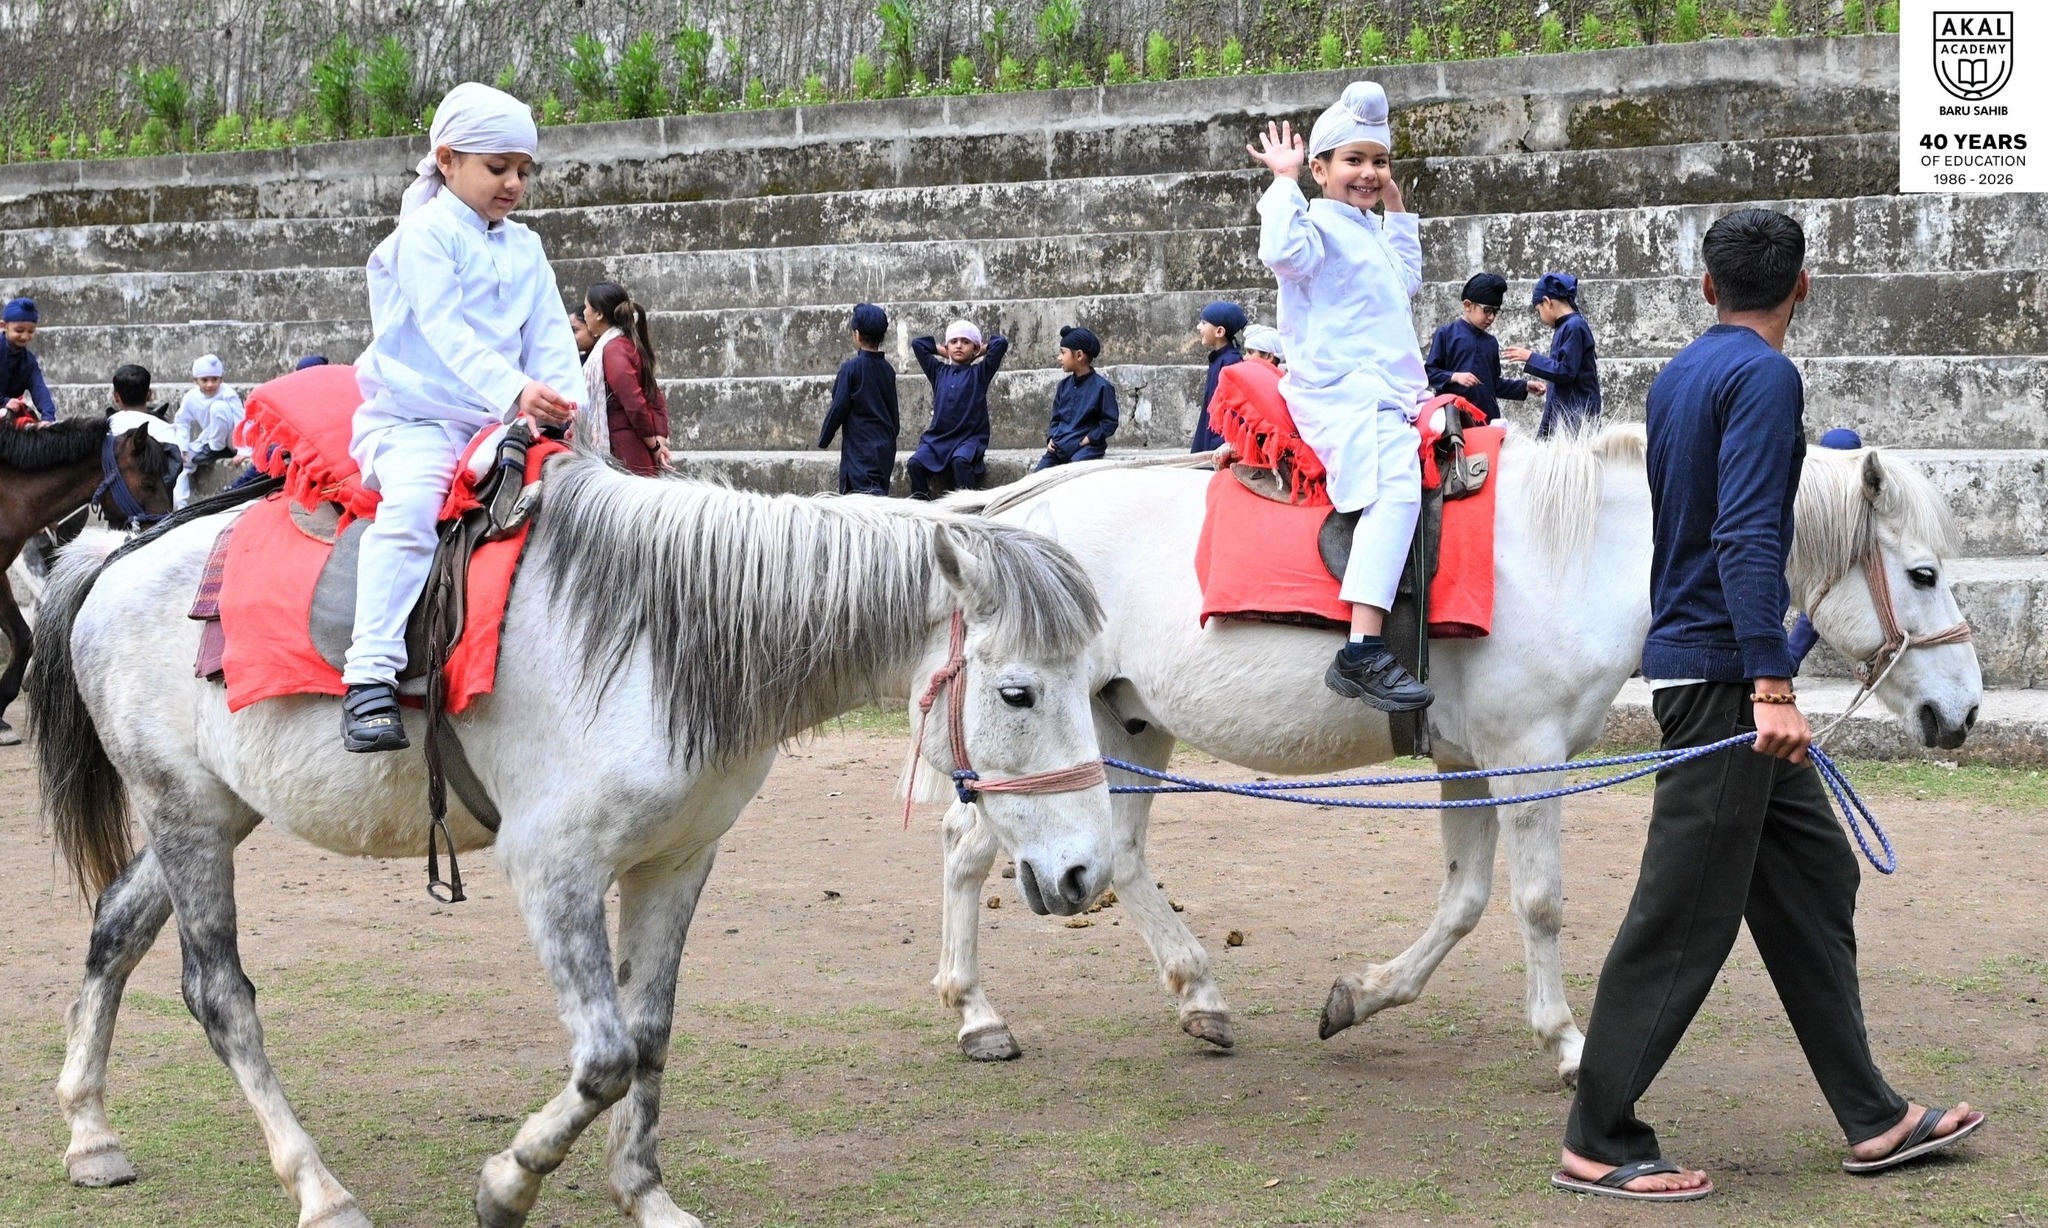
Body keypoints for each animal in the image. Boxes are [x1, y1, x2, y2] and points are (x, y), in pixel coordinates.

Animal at [29, 454, 1117, 1228]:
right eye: (1017, 692)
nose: (1084, 873)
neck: (664, 644)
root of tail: (115, 558)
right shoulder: (553, 870)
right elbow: (602, 1055)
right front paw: (508, 1184)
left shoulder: (677, 860)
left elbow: (649, 1034)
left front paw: (645, 1195)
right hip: (187, 814)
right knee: (218, 993)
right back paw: (319, 1190)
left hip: (214, 813)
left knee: (116, 931)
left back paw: (89, 1134)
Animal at [924, 425, 1981, 1081]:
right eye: (1924, 573)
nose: (1963, 711)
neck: (1571, 555)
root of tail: (1012, 514)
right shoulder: (1529, 755)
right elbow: (1538, 903)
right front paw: (1567, 1044)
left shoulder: (1471, 763)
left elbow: (1466, 900)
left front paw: (1360, 996)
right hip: (1056, 733)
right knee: (974, 850)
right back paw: (978, 1015)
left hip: (1122, 726)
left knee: (1108, 857)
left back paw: (1195, 997)